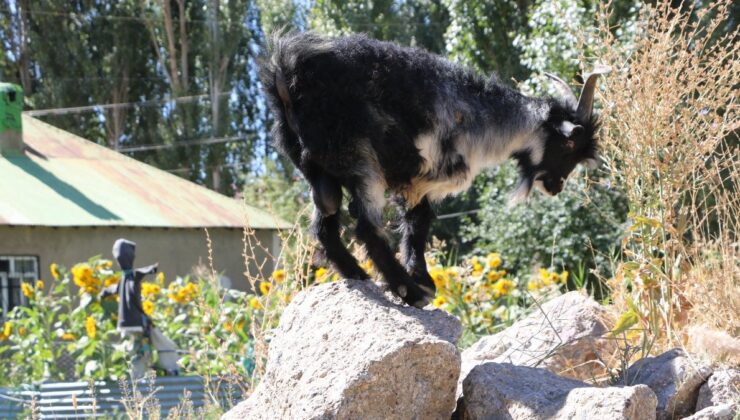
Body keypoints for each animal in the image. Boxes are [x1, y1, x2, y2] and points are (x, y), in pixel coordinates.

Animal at [260, 32, 608, 306]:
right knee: (367, 228)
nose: (556, 186)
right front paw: (422, 284)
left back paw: (359, 276)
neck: (484, 117)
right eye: (569, 144)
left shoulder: (416, 183)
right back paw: (407, 292)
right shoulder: (425, 177)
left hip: (320, 172)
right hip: (362, 161)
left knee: (325, 223)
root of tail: (287, 75)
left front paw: (423, 277)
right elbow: (417, 224)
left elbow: (417, 224)